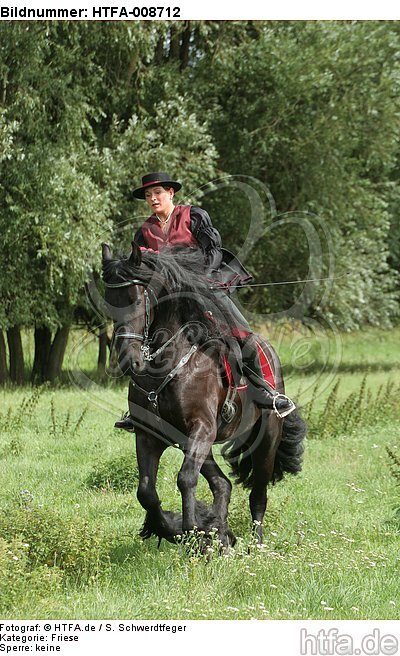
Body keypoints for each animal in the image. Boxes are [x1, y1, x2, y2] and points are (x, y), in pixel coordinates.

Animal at [101, 241, 306, 549]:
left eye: (135, 300)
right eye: (108, 301)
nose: (129, 361)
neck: (168, 365)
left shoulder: (202, 428)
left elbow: (186, 479)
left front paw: (194, 535)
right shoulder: (150, 435)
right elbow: (146, 492)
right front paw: (174, 529)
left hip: (265, 438)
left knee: (258, 493)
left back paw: (256, 546)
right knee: (223, 484)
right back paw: (222, 533)